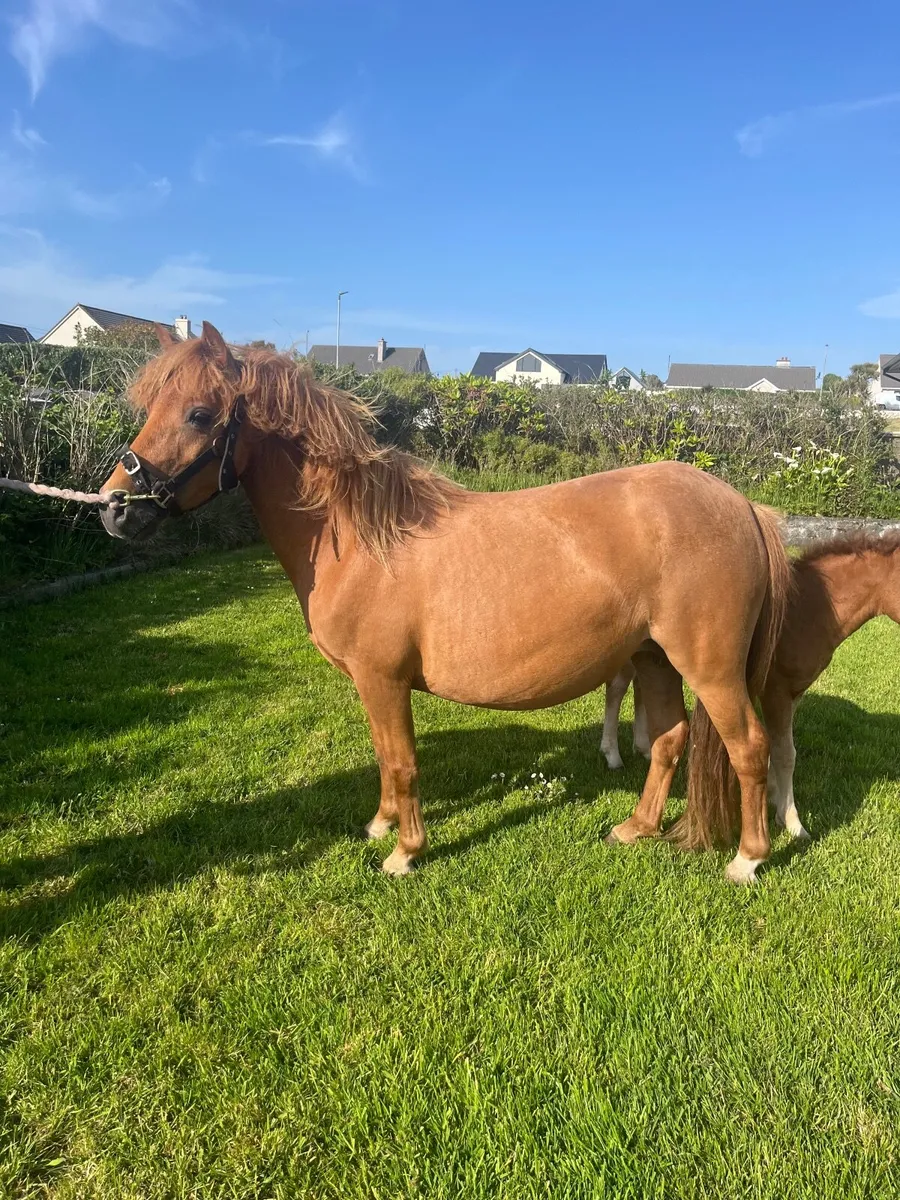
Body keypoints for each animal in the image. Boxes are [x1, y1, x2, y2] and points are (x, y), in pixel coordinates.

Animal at [99, 322, 791, 883]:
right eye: (151, 405)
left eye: (197, 413)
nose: (114, 508)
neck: (363, 537)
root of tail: (743, 506)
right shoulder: (373, 685)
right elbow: (384, 758)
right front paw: (380, 826)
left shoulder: (383, 679)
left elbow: (403, 762)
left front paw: (404, 852)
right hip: (654, 659)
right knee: (671, 739)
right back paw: (637, 828)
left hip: (710, 669)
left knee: (749, 747)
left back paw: (748, 858)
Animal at [600, 531, 900, 841]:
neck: (808, 609)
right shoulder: (776, 692)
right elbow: (785, 754)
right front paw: (793, 823)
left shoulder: (793, 693)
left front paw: (774, 799)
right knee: (617, 689)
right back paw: (613, 754)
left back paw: (643, 747)